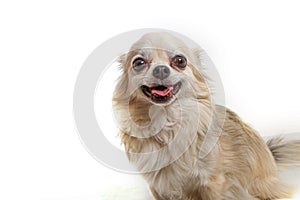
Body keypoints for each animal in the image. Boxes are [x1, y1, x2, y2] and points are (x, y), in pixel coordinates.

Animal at [112, 32, 300, 199]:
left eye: (180, 61)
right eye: (139, 63)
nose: (161, 70)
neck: (167, 122)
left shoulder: (214, 183)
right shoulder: (158, 187)